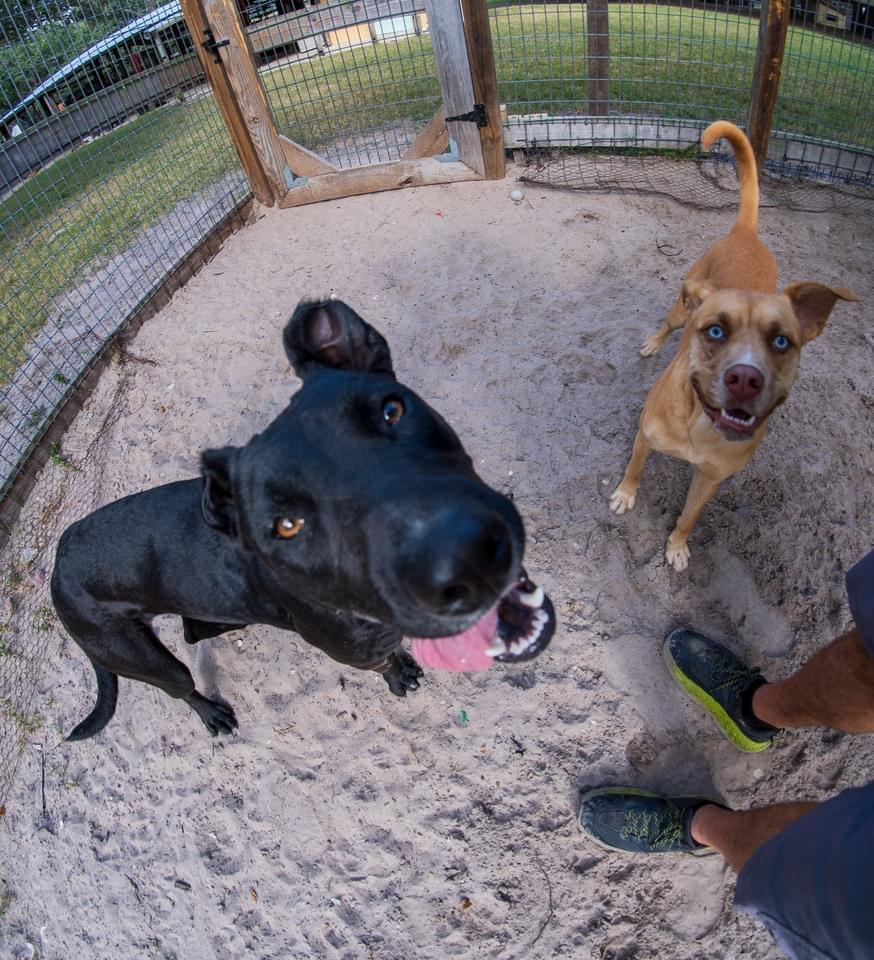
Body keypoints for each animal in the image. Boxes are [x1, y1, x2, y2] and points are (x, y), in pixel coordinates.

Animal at [51, 300, 556, 744]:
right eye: (287, 525)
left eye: (392, 409)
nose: (467, 557)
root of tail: (57, 563)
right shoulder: (356, 653)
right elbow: (384, 663)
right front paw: (399, 675)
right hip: (147, 660)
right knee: (183, 683)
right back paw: (212, 713)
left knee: (196, 628)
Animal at [608, 120, 856, 568]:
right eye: (715, 332)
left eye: (781, 341)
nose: (745, 378)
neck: (701, 426)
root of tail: (746, 232)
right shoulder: (644, 439)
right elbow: (634, 470)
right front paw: (624, 495)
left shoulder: (710, 480)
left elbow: (689, 516)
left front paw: (677, 547)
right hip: (682, 305)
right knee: (668, 323)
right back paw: (652, 344)